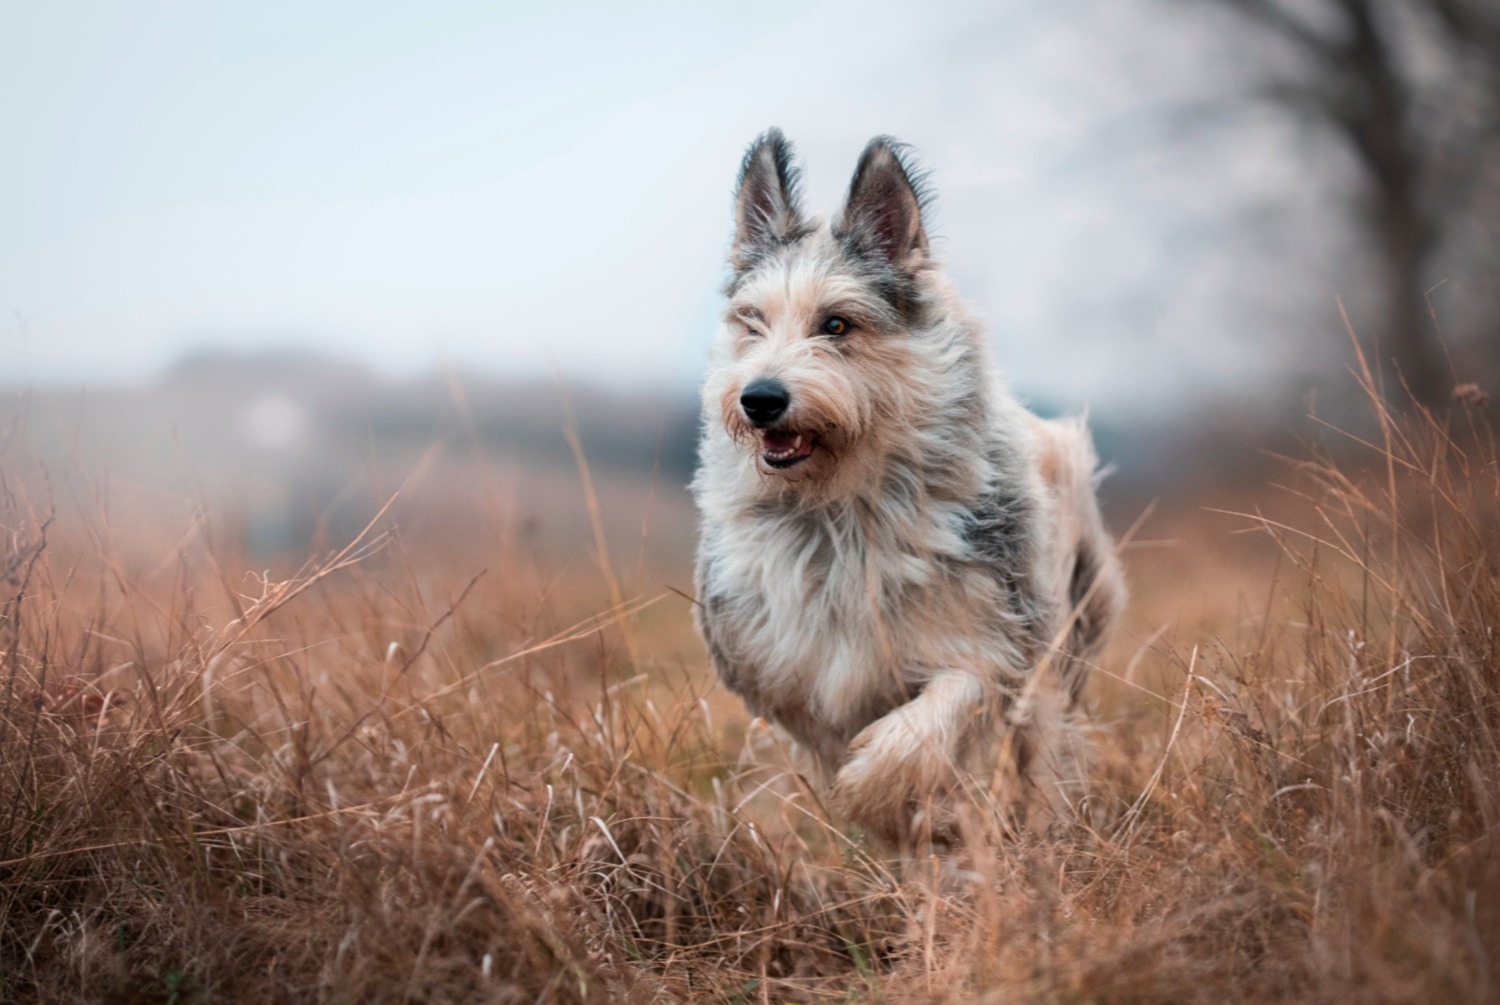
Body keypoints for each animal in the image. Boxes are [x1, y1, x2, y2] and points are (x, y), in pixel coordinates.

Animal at [690, 128, 1128, 852]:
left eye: (836, 324)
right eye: (751, 322)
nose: (760, 398)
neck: (842, 513)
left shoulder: (991, 641)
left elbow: (927, 724)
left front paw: (892, 799)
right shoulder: (790, 674)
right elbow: (832, 745)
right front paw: (896, 824)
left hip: (1064, 630)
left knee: (1047, 743)